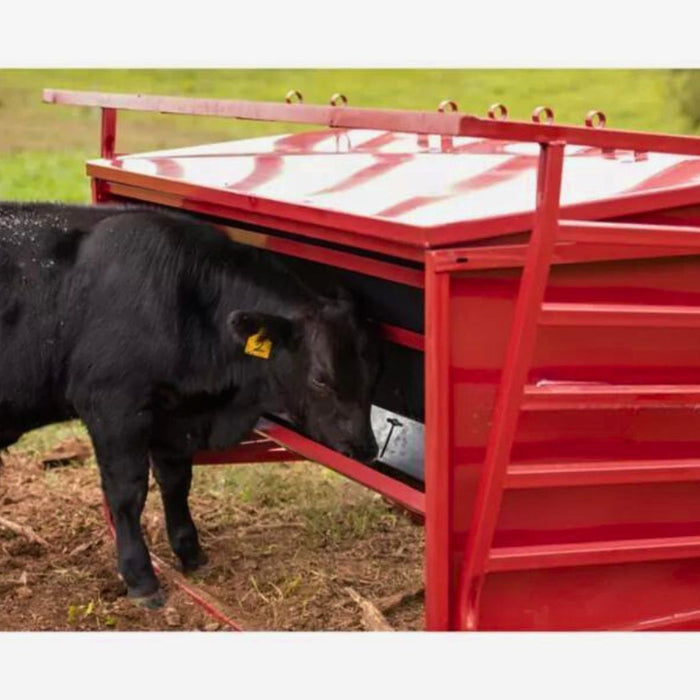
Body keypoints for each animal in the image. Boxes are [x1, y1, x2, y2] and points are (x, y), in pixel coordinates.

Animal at [0, 202, 379, 607]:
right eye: (321, 378)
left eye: (376, 368)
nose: (365, 448)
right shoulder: (112, 406)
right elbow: (127, 493)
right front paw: (141, 579)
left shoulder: (173, 414)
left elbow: (176, 481)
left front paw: (190, 552)